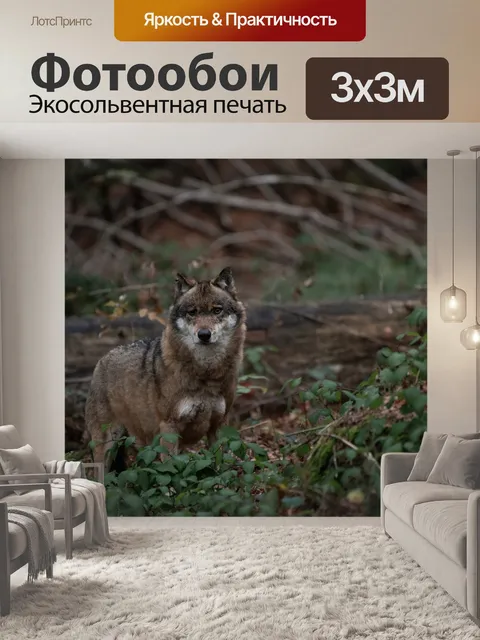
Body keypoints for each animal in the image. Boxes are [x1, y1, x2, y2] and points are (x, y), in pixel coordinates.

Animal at [85, 267, 246, 466]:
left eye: (217, 310)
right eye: (192, 312)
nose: (204, 334)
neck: (206, 373)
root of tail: (101, 360)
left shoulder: (219, 426)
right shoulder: (169, 427)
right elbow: (171, 468)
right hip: (108, 445)